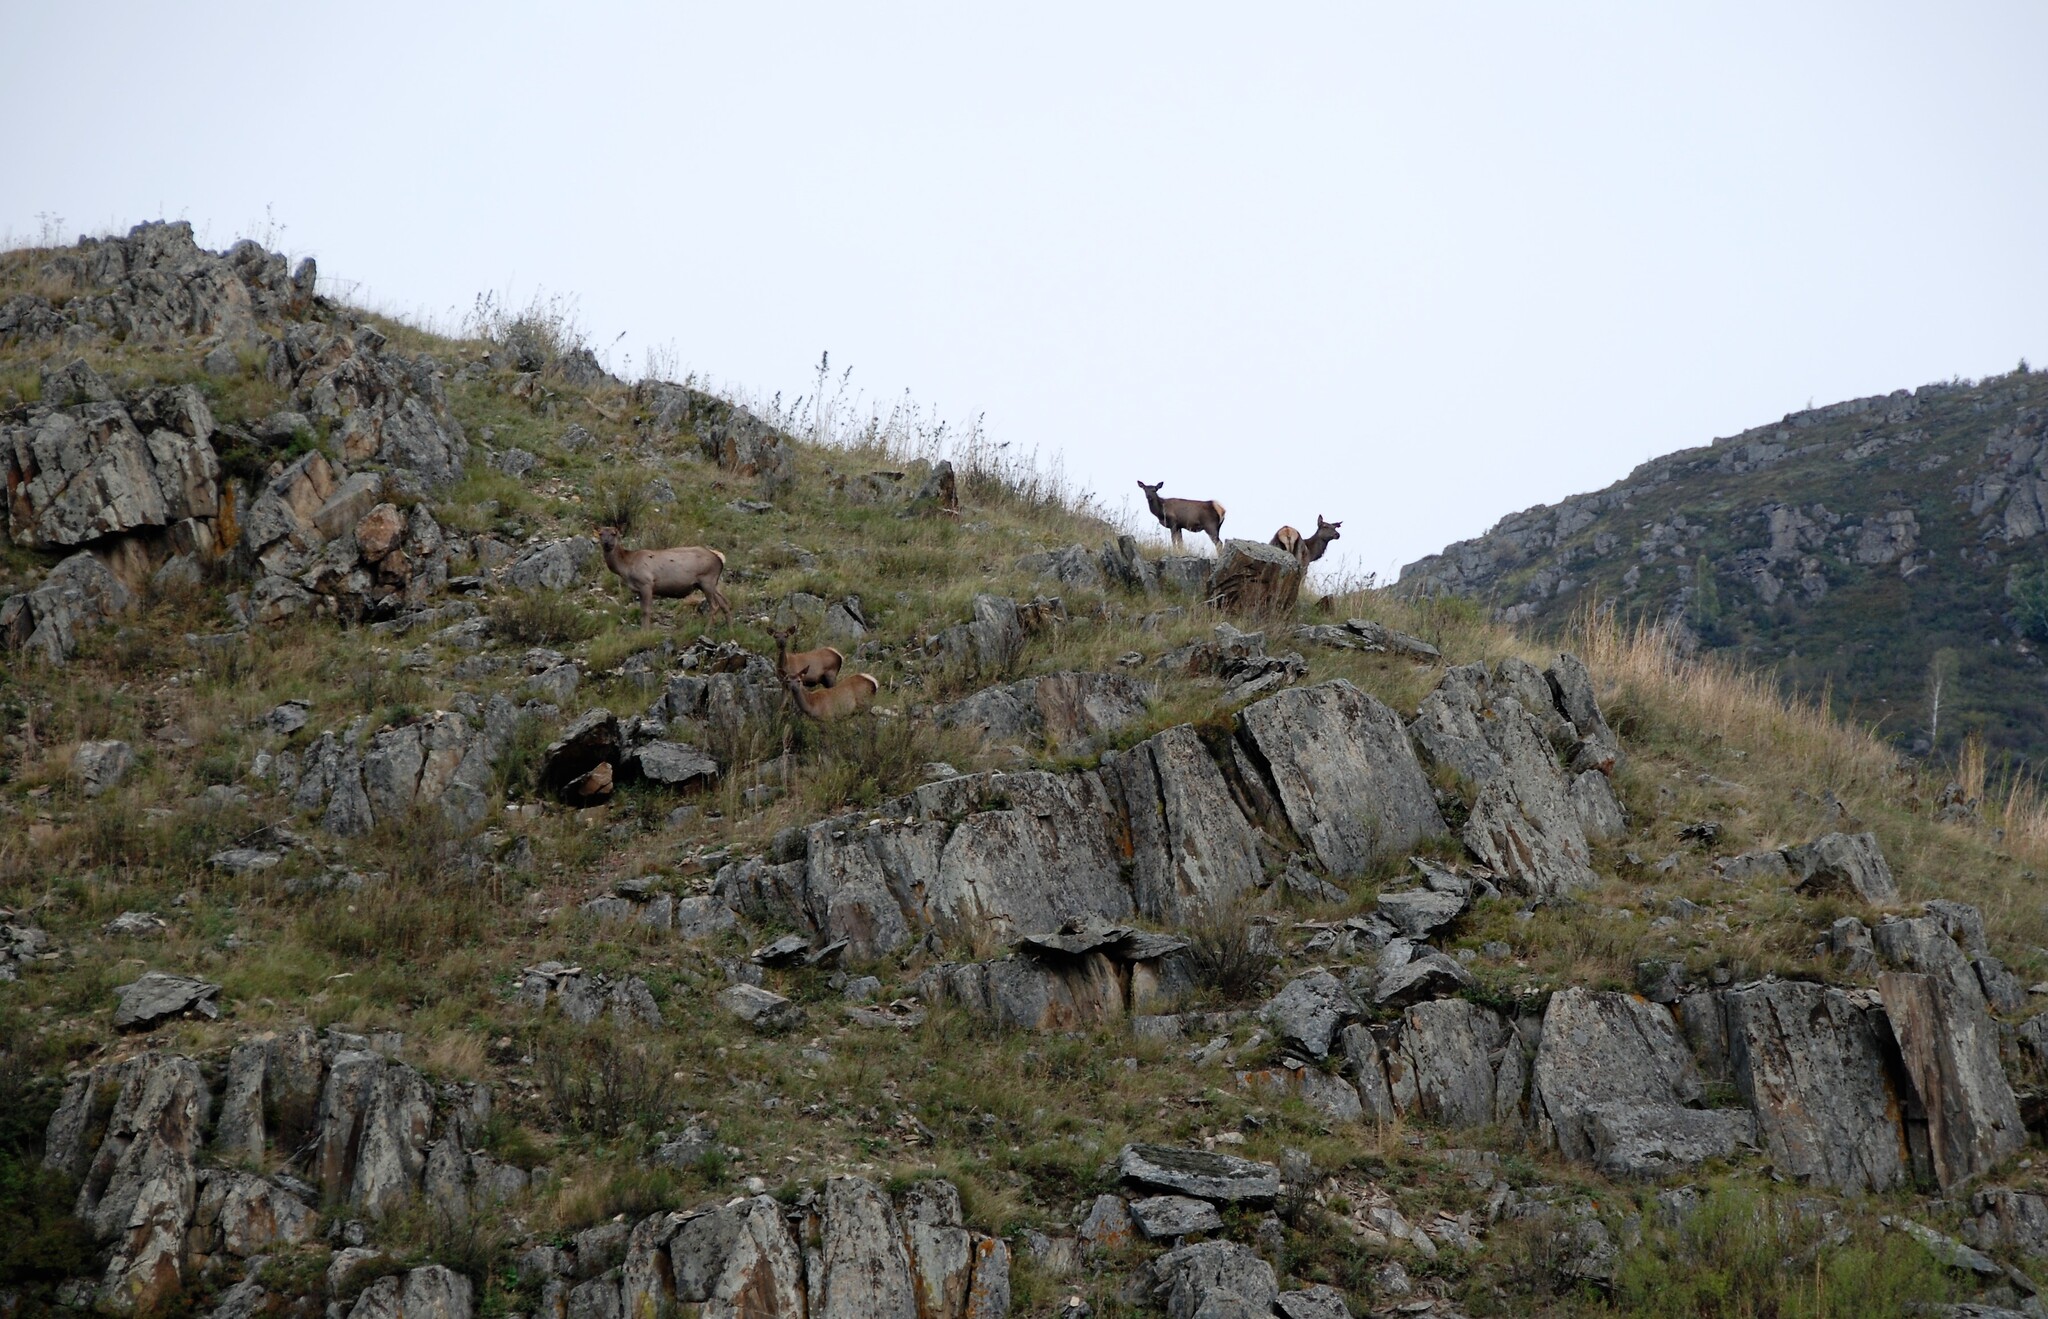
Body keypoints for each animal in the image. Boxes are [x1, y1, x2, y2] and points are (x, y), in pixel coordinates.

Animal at [598, 524, 733, 626]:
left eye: (614, 533)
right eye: (600, 533)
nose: (606, 543)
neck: (626, 567)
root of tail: (720, 558)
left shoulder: (646, 583)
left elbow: (646, 611)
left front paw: (645, 632)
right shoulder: (639, 589)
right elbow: (642, 610)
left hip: (707, 580)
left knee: (714, 606)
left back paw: (707, 630)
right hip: (713, 583)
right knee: (725, 603)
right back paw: (730, 629)